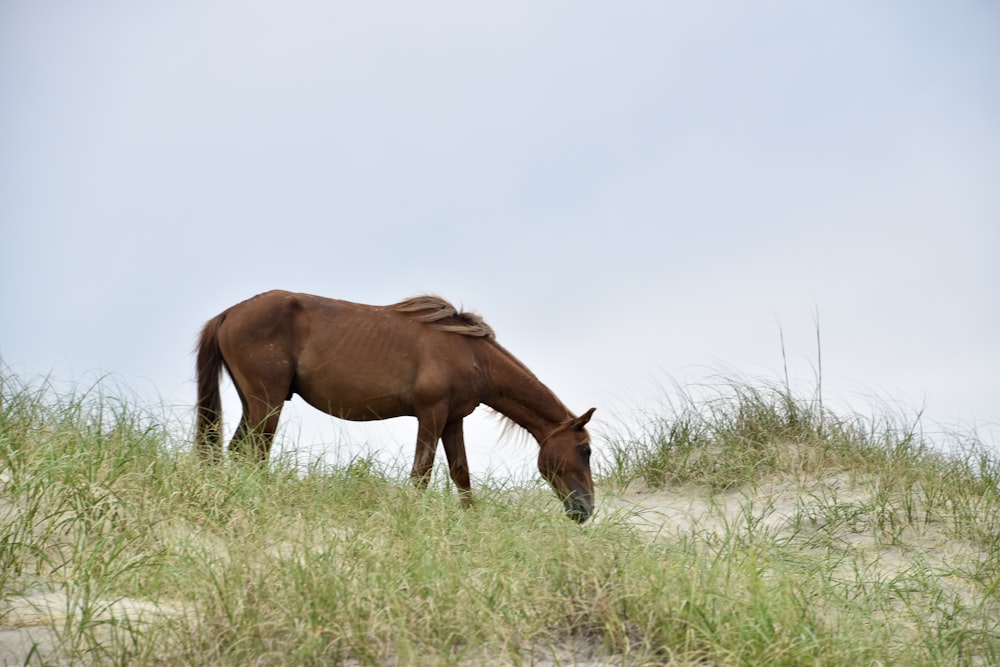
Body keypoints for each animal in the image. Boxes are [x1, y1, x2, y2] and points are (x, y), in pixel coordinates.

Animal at [199, 290, 596, 520]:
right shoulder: (431, 414)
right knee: (255, 453)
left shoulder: (453, 419)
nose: (587, 509)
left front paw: (471, 523)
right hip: (267, 402)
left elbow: (461, 474)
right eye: (586, 450)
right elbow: (422, 473)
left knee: (240, 451)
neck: (470, 354)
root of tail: (228, 314)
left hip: (255, 402)